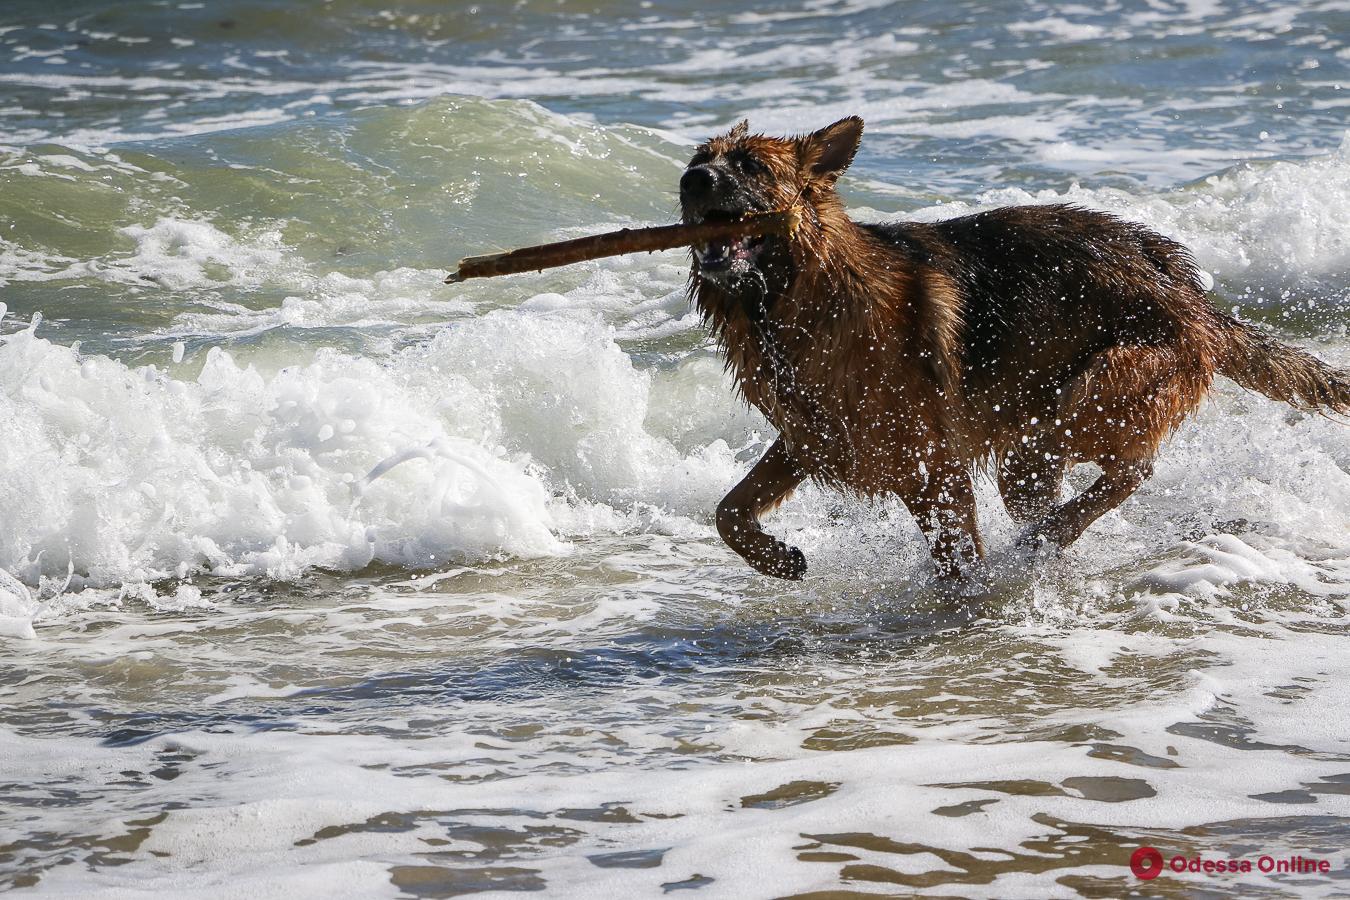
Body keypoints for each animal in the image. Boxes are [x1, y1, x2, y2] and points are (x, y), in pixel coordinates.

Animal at [685, 116, 1350, 580]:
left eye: (751, 166)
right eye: (699, 159)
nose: (692, 180)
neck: (794, 298)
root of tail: (1185, 287)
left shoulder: (934, 467)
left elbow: (956, 562)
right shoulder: (811, 438)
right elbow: (728, 512)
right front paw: (775, 559)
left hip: (1079, 403)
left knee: (1132, 469)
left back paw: (1051, 535)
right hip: (1028, 452)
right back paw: (1048, 541)